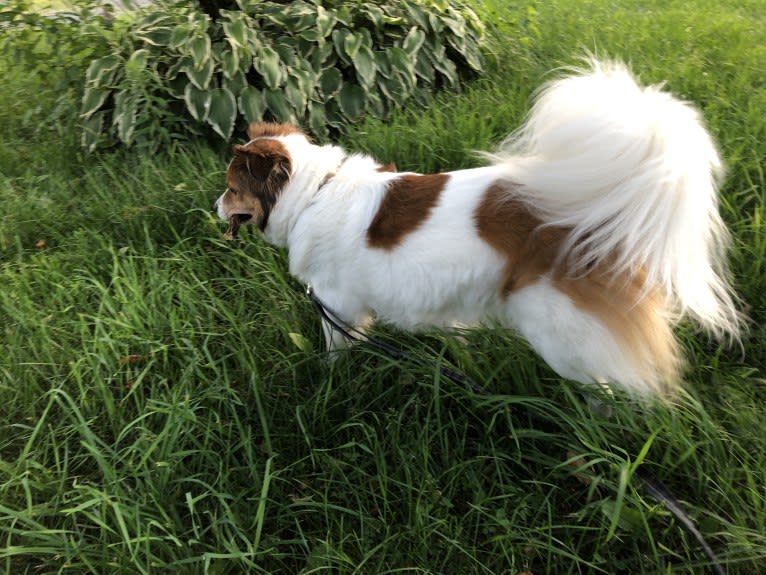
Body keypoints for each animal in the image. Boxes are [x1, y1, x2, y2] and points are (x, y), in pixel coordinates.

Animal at [214, 60, 744, 398]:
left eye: (231, 188)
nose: (214, 205)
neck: (313, 192)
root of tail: (605, 211)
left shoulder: (337, 303)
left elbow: (335, 347)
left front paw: (327, 379)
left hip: (562, 331)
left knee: (604, 386)